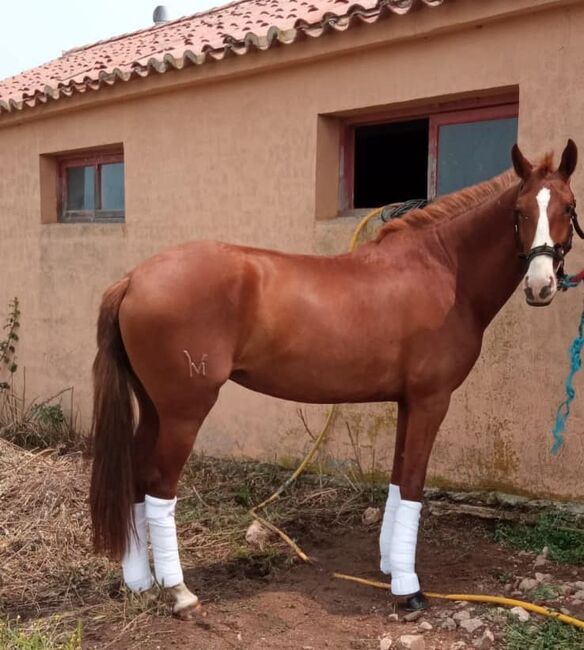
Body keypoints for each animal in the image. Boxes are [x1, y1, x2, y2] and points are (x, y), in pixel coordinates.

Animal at [89, 139, 576, 616]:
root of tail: (134, 278)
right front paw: (408, 589)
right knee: (158, 488)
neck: (443, 270)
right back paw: (180, 593)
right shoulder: (431, 400)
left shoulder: (407, 401)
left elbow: (398, 481)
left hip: (154, 408)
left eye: (567, 207)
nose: (540, 286)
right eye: (520, 211)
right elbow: (413, 485)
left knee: (135, 478)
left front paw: (389, 566)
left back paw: (140, 584)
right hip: (184, 412)